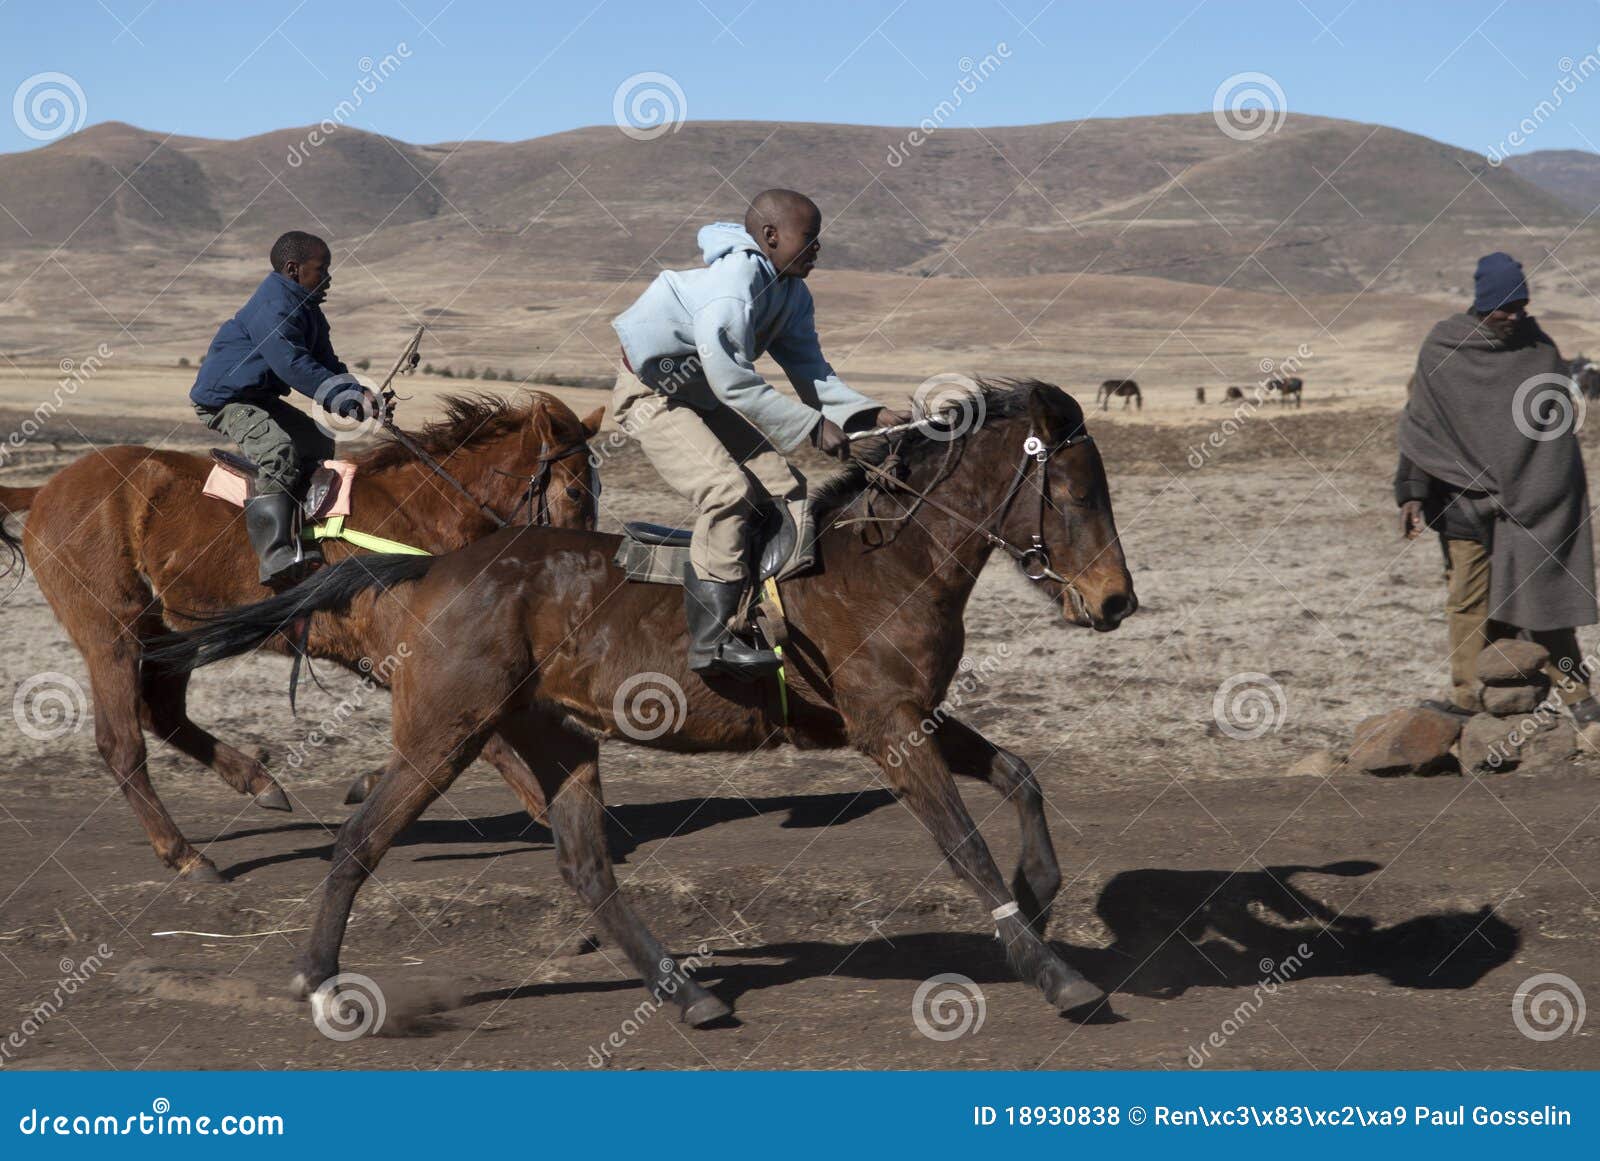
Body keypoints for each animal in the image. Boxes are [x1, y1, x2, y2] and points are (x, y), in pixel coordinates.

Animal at [1, 393, 601, 882]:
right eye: (575, 490)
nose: (587, 574)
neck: (419, 513)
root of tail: (47, 488)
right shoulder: (397, 651)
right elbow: (482, 734)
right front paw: (548, 808)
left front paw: (367, 781)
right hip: (112, 635)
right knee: (121, 743)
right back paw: (183, 853)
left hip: (175, 634)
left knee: (163, 713)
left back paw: (258, 781)